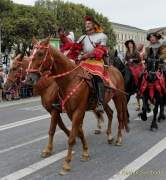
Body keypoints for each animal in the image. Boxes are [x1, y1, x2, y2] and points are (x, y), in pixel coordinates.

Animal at [26, 37, 129, 175]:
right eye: (30, 54)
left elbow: (71, 137)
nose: (29, 79)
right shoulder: (69, 112)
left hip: (118, 98)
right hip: (104, 101)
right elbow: (75, 131)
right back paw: (109, 136)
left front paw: (66, 164)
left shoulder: (76, 111)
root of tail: (116, 70)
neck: (70, 80)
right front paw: (85, 152)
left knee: (120, 116)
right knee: (110, 113)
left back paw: (118, 139)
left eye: (40, 54)